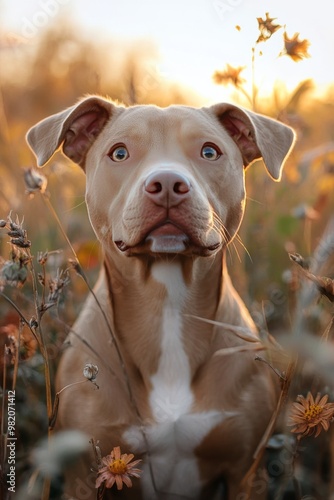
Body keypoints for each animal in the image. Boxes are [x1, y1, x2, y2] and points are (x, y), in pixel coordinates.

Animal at [27, 98, 296, 500]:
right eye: (119, 152)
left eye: (209, 151)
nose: (168, 183)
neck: (167, 306)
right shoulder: (82, 477)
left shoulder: (247, 472)